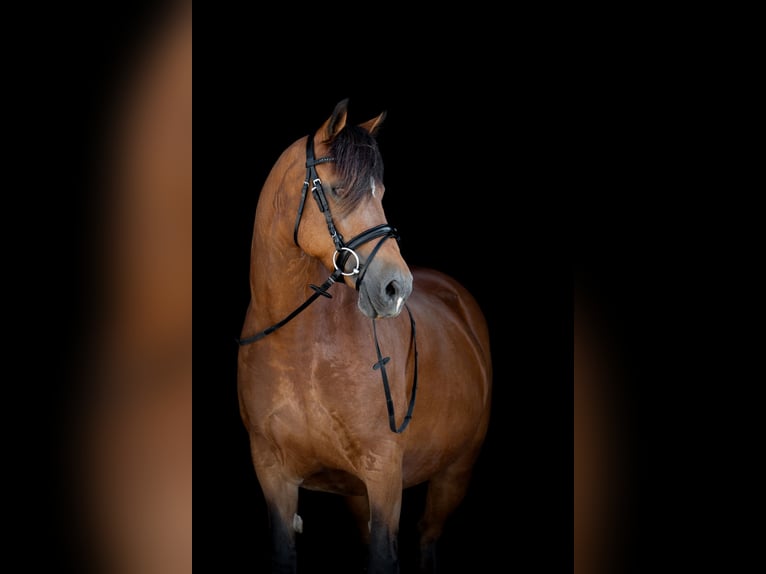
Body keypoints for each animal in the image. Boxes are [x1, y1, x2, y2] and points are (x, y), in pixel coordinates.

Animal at [237, 99, 492, 574]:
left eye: (382, 193)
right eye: (338, 190)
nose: (396, 287)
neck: (303, 352)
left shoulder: (384, 475)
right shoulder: (274, 475)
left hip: (454, 474)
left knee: (428, 537)